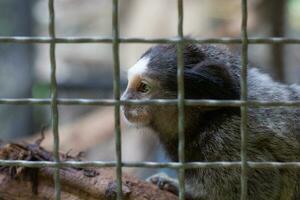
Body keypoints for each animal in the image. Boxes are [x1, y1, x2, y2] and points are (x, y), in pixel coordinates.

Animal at [120, 44, 298, 200]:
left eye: (143, 88)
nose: (123, 101)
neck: (206, 120)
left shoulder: (231, 139)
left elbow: (262, 186)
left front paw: (182, 189)